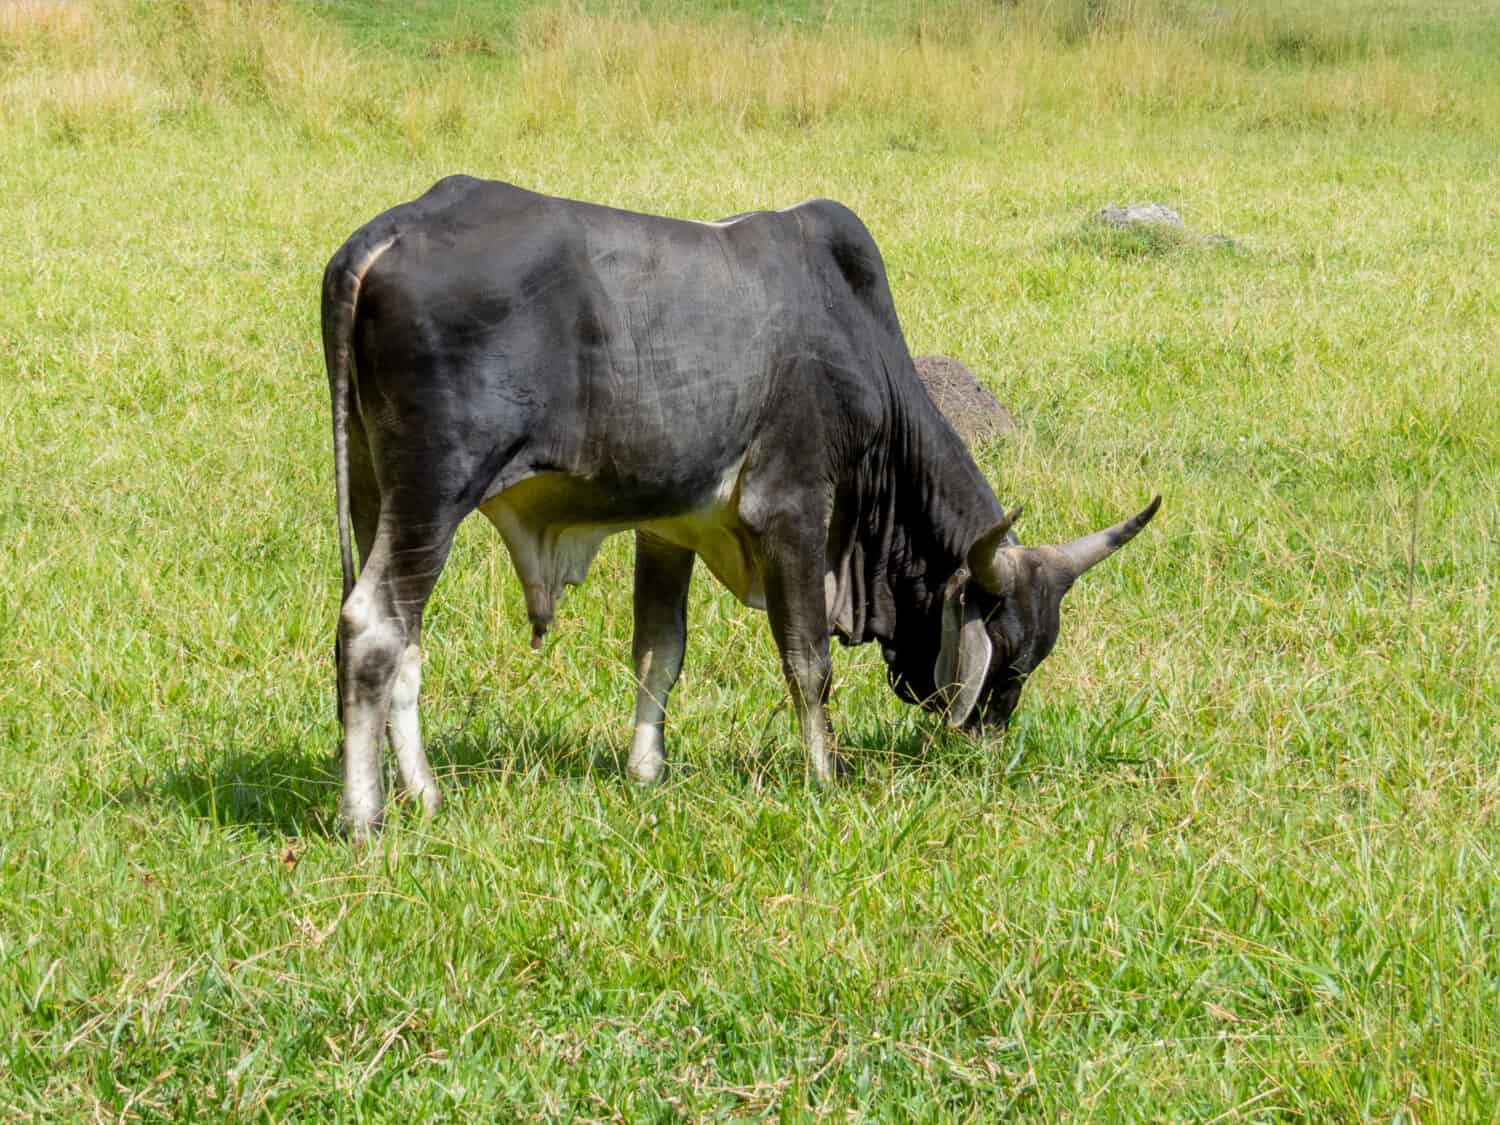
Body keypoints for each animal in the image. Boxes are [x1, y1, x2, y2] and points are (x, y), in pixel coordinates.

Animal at [319, 178, 1158, 840]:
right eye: (1007, 659)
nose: (984, 750)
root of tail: (390, 234)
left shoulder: (669, 526)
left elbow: (659, 652)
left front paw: (647, 769)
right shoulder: (792, 510)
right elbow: (808, 661)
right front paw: (827, 774)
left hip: (374, 491)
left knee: (407, 637)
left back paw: (425, 794)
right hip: (436, 491)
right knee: (374, 626)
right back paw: (367, 816)